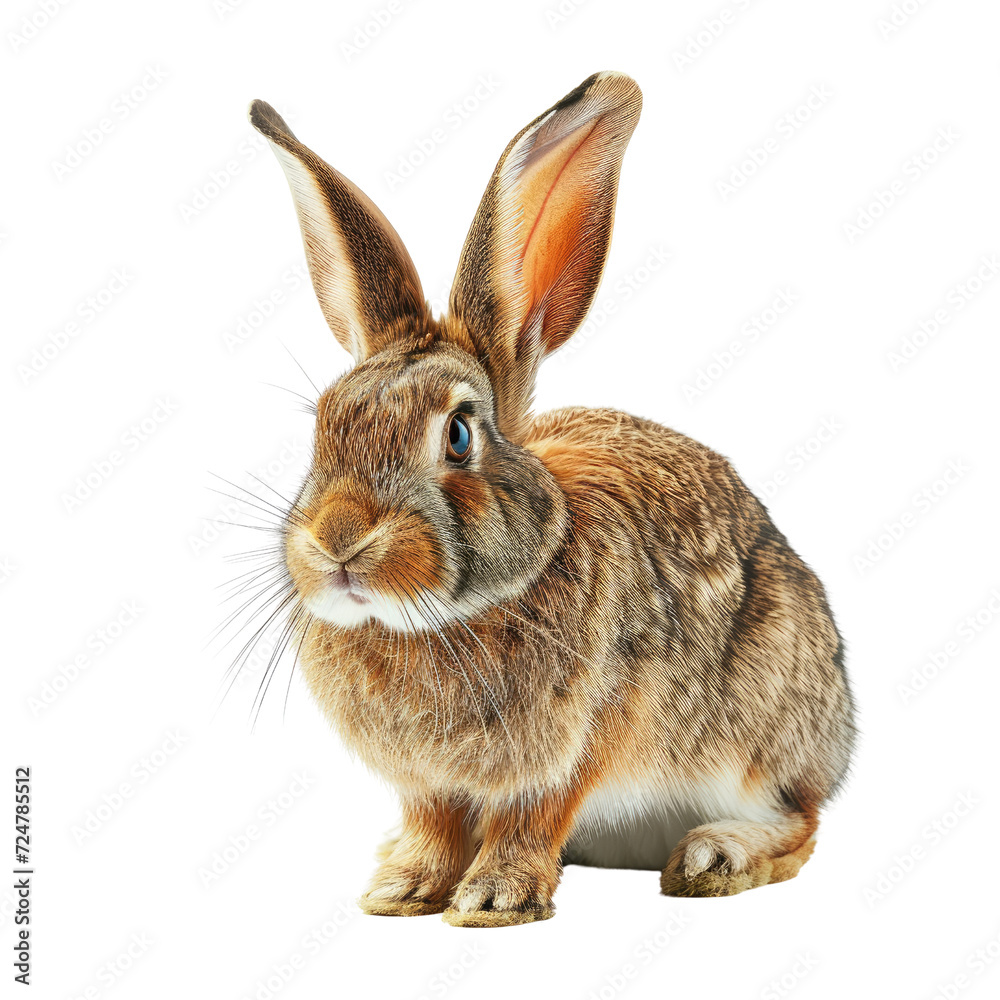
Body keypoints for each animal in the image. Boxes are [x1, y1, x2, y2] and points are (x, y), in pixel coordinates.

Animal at [245, 70, 856, 927]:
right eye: (323, 426)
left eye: (458, 435)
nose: (338, 541)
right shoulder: (427, 783)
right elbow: (432, 821)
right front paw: (403, 887)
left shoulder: (584, 735)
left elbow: (535, 813)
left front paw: (494, 898)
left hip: (763, 728)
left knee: (801, 820)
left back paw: (716, 854)